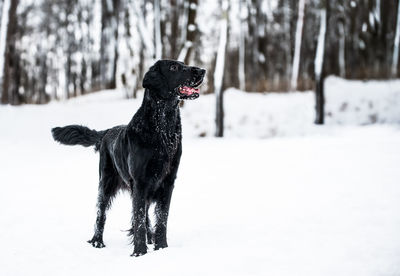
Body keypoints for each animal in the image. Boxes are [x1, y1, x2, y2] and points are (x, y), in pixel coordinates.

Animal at [51, 59, 205, 256]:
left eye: (183, 63)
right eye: (174, 67)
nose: (202, 71)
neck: (162, 129)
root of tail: (107, 132)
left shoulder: (167, 182)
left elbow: (161, 218)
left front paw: (161, 248)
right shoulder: (140, 182)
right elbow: (138, 219)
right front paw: (139, 252)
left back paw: (149, 238)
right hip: (106, 184)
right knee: (101, 215)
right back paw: (97, 241)